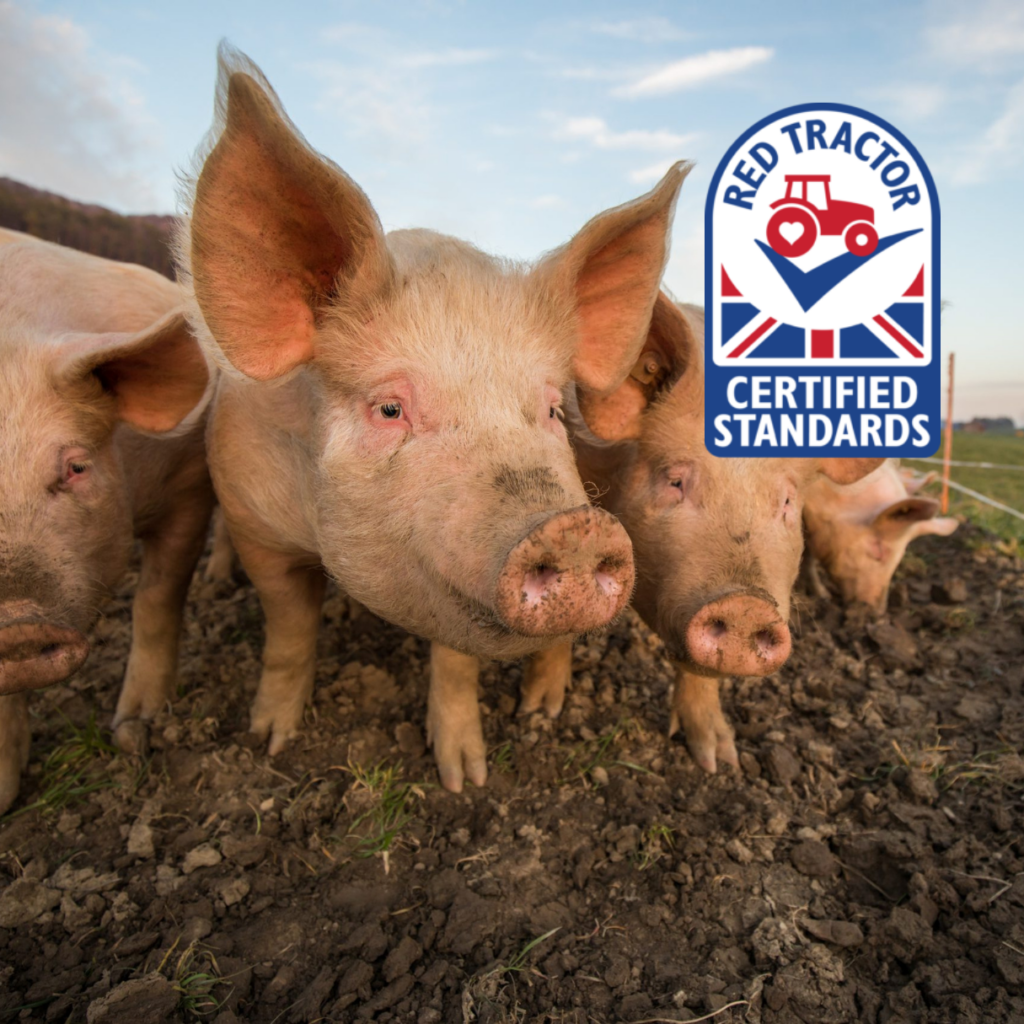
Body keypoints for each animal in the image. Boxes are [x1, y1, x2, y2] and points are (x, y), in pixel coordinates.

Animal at [0, 232, 215, 812]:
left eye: (76, 467)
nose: (17, 627)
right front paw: (4, 797)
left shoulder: (188, 485)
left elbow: (156, 600)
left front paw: (134, 727)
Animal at [175, 45, 688, 792]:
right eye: (390, 407)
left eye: (551, 408)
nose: (575, 528)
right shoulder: (256, 521)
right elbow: (289, 632)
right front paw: (268, 740)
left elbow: (455, 665)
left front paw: (465, 778)